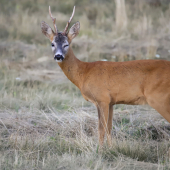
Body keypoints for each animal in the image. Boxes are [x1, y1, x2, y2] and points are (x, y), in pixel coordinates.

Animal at [41, 5, 170, 146]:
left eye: (66, 44)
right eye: (52, 44)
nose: (58, 56)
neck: (84, 73)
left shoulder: (102, 98)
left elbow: (101, 128)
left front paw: (100, 149)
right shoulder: (111, 102)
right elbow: (109, 128)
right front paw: (111, 148)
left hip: (159, 97)